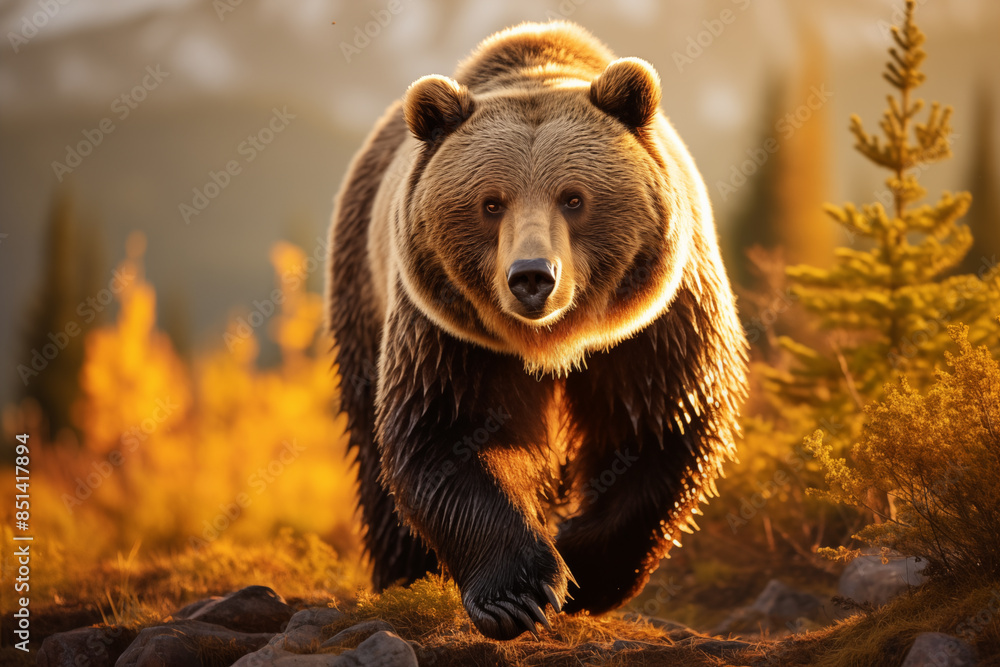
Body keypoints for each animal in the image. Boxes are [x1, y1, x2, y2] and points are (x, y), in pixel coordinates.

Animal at [326, 21, 748, 640]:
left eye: (573, 197)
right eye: (490, 203)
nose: (531, 277)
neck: (551, 343)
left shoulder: (656, 326)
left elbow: (662, 430)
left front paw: (580, 563)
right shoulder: (452, 337)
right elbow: (450, 432)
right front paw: (517, 595)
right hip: (363, 285)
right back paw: (402, 578)